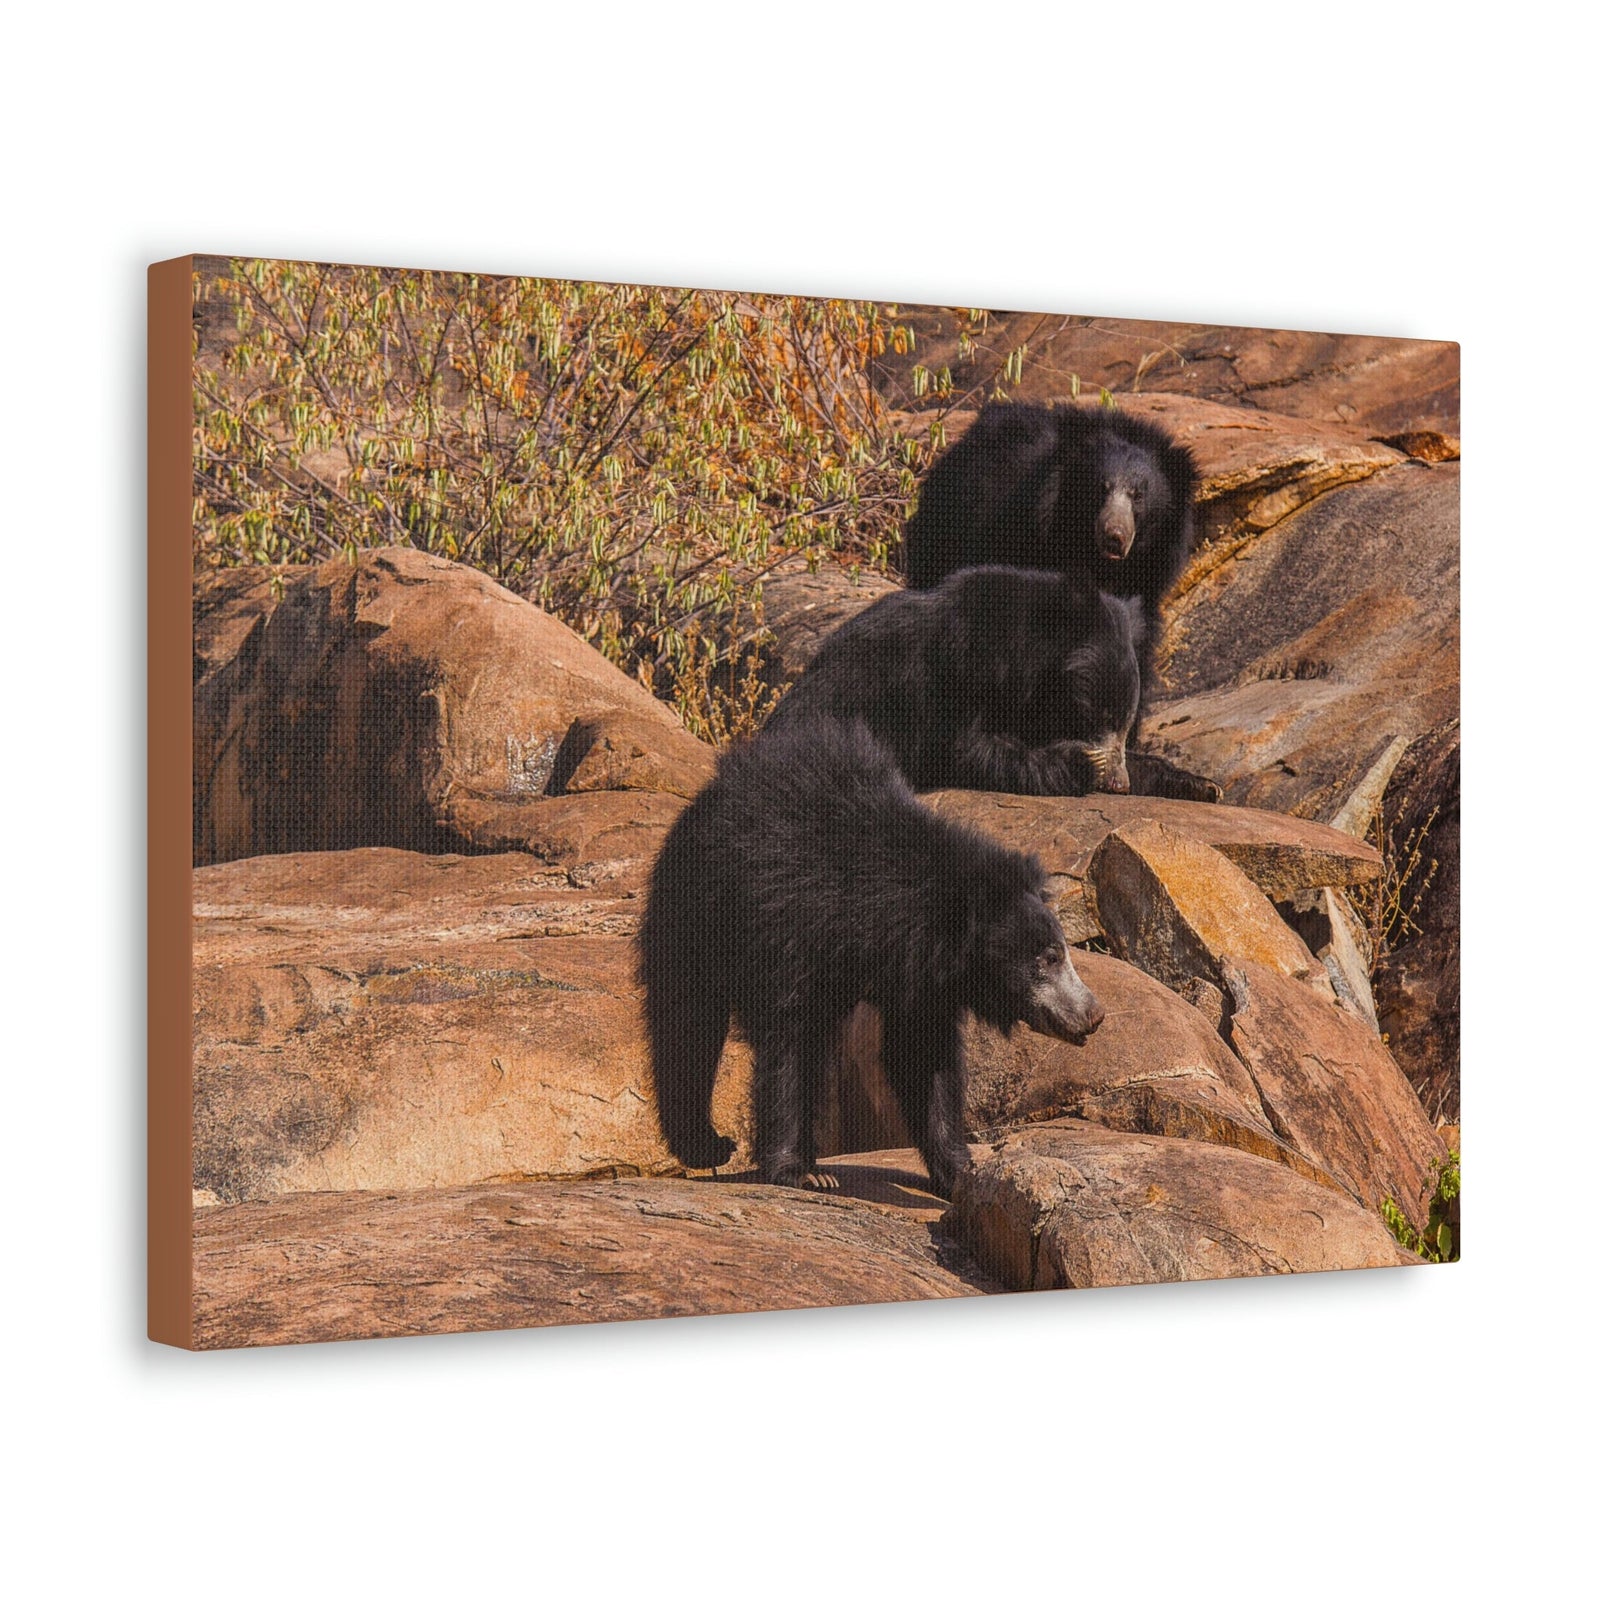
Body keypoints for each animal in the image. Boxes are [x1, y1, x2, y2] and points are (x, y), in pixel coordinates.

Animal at [638, 718, 1105, 1197]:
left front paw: (961, 1173)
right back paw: (707, 1145)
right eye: (1048, 958)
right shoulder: (791, 928)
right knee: (688, 1021)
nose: (1093, 1015)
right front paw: (804, 1172)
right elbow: (792, 1041)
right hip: (696, 908)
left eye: (1060, 952)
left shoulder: (922, 978)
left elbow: (922, 1057)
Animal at [761, 565, 1145, 797]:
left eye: (1127, 725)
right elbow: (961, 748)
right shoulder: (957, 670)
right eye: (1103, 717)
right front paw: (1082, 764)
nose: (1120, 784)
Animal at [900, 401, 1218, 800]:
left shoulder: (1147, 576)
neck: (1095, 559)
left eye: (1138, 494)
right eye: (1101, 488)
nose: (1115, 536)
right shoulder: (1016, 534)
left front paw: (1190, 780)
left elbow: (1134, 652)